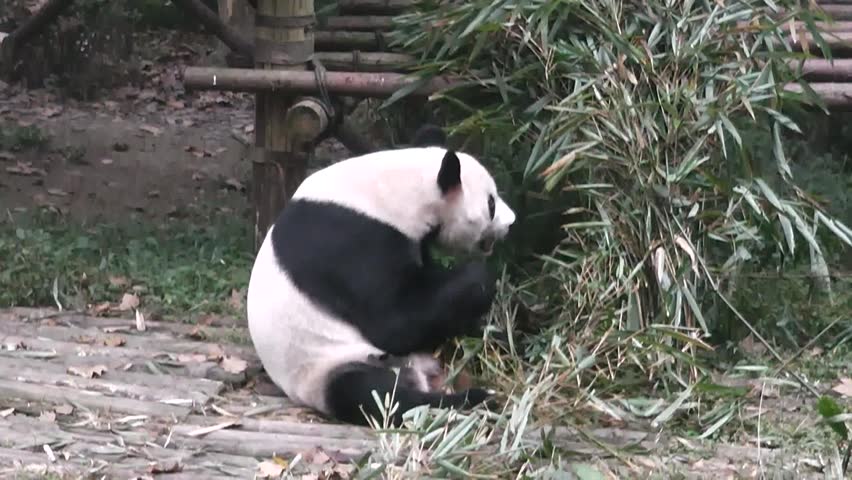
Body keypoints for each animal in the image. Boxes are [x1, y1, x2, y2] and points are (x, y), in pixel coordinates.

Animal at [246, 126, 516, 427]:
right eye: (491, 204)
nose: (511, 222)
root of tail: (418, 372)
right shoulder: (352, 239)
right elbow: (393, 322)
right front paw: (480, 277)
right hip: (324, 363)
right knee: (372, 392)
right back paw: (471, 399)